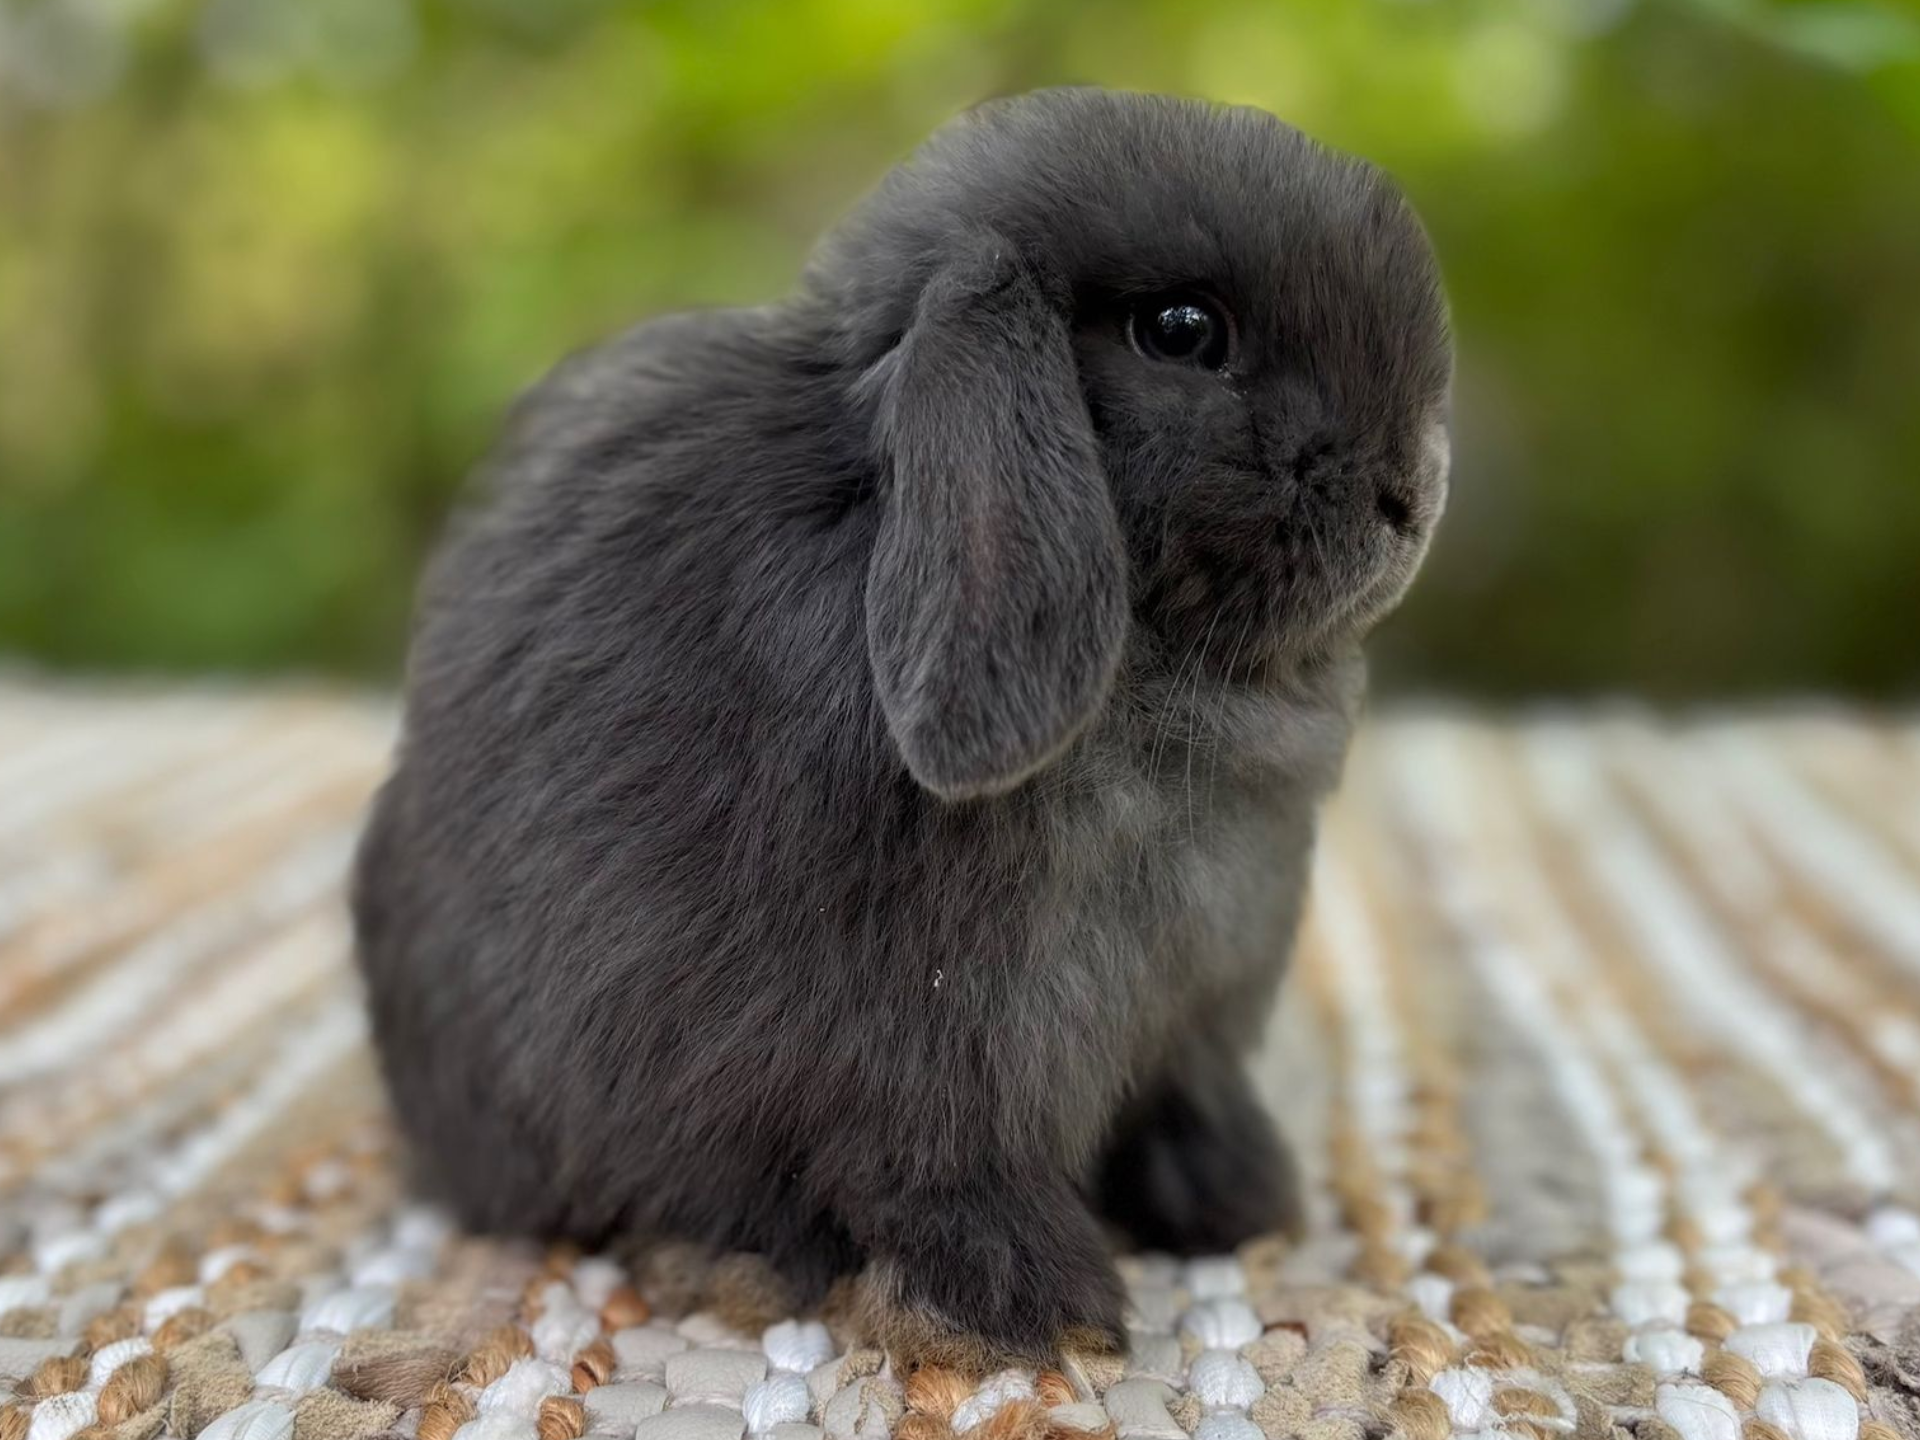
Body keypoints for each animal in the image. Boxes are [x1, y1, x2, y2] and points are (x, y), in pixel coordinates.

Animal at [352, 86, 1451, 1369]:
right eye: (1180, 330)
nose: (1412, 494)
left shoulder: (1194, 1021)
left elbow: (1188, 1113)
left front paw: (1242, 1207)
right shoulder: (933, 1050)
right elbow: (938, 1173)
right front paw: (1033, 1312)